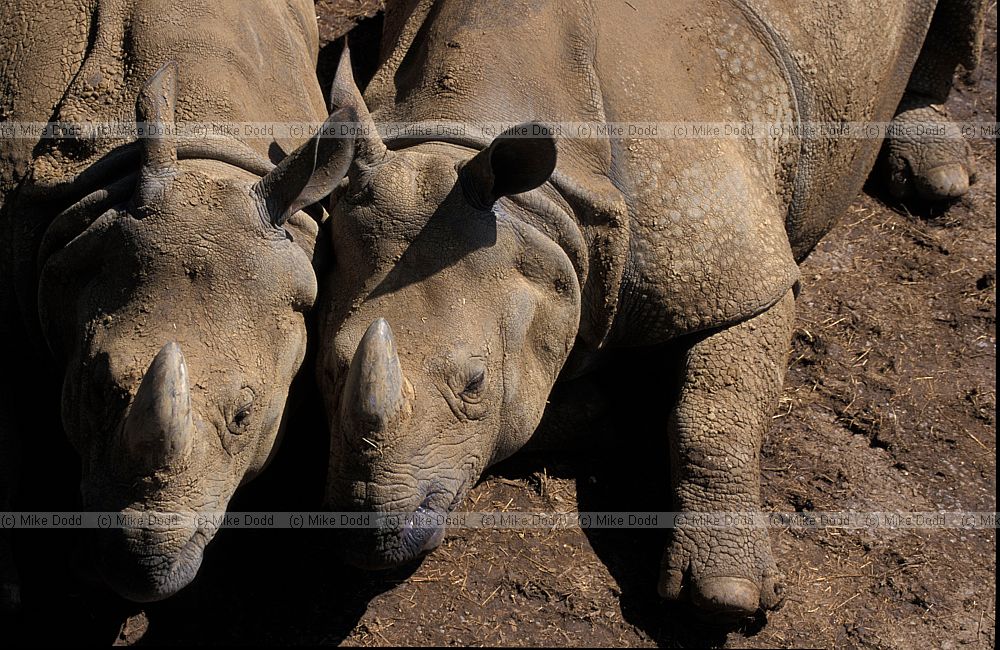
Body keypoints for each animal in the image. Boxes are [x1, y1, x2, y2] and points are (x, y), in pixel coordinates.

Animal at [317, 0, 985, 622]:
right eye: (329, 370)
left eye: (475, 383)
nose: (372, 536)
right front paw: (598, 409)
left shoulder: (737, 261)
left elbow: (713, 409)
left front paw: (728, 594)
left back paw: (939, 175)